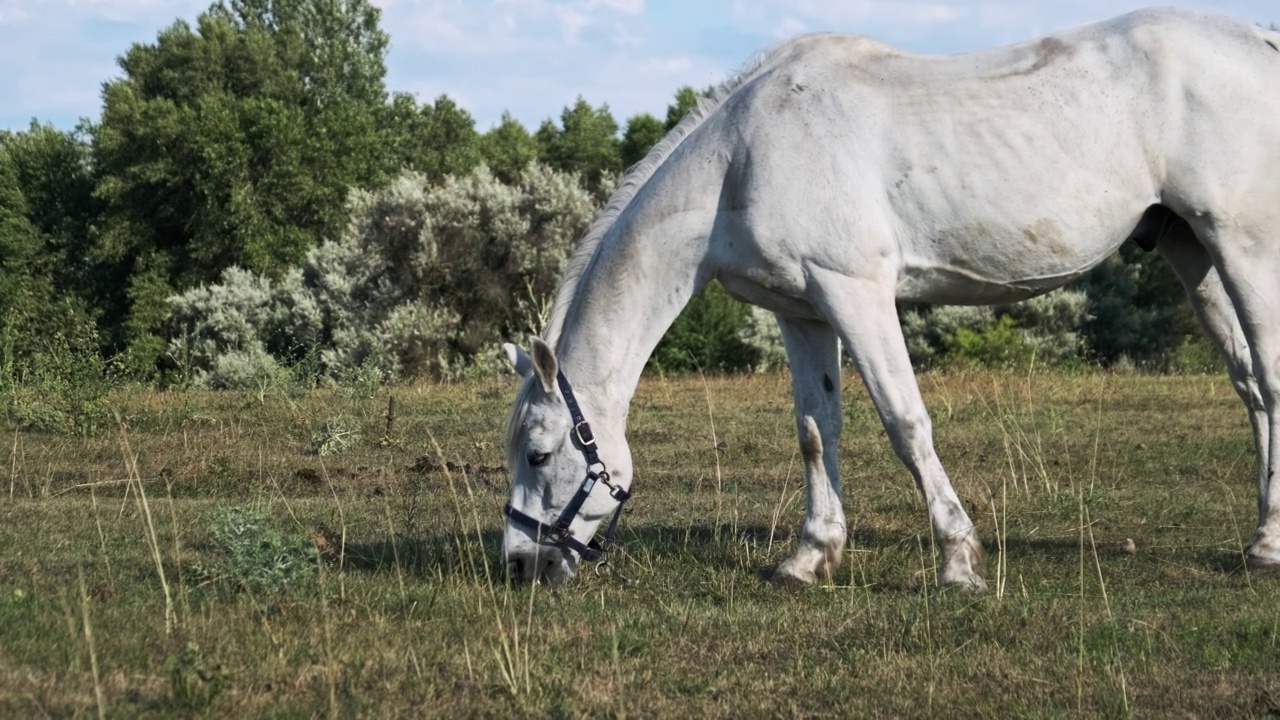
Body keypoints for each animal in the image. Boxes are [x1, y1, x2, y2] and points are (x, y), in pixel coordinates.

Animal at [496, 7, 1280, 589]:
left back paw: (1270, 547)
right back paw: (1260, 540)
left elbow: (906, 423)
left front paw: (960, 562)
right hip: (1193, 250)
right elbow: (816, 431)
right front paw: (809, 557)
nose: (520, 565)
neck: (741, 158)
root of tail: (1258, 41)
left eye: (538, 454)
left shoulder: (856, 293)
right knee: (1251, 389)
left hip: (1245, 247)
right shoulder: (801, 312)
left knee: (1269, 378)